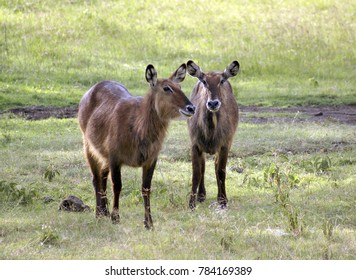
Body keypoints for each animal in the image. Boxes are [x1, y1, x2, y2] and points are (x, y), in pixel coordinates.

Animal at [78, 64, 196, 230]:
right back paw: (99, 214)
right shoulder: (115, 158)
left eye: (179, 86)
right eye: (167, 88)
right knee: (96, 179)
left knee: (102, 177)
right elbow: (117, 186)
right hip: (89, 147)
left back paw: (104, 212)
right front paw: (116, 218)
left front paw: (149, 223)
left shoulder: (151, 160)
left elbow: (146, 189)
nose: (191, 108)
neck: (138, 128)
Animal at [185, 61, 241, 210]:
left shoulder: (225, 144)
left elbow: (221, 171)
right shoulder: (195, 144)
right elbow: (196, 172)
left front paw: (222, 201)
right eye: (204, 81)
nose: (213, 103)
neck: (210, 132)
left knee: (216, 167)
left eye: (221, 81)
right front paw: (191, 204)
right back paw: (201, 195)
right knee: (203, 167)